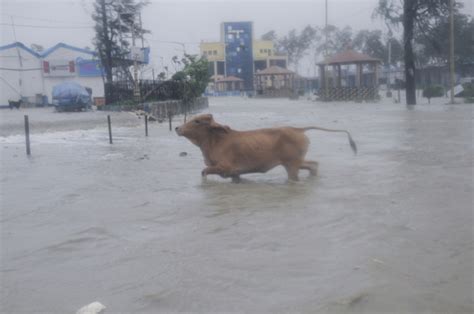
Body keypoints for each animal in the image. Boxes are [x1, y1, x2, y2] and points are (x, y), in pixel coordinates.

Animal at [176, 113, 358, 182]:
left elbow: (204, 172)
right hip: (296, 162)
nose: (177, 128)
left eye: (197, 121)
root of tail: (298, 129)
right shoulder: (235, 174)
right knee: (313, 164)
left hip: (292, 165)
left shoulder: (225, 167)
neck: (215, 141)